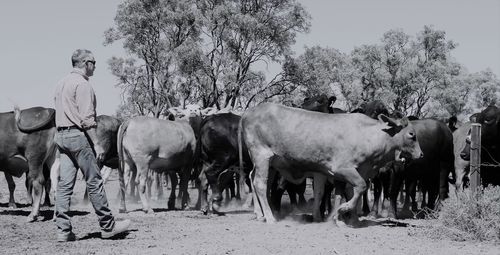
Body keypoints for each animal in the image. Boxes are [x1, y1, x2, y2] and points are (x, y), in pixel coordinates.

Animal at [241, 102, 422, 224]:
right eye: (412, 134)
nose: (421, 154)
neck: (366, 135)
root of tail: (250, 112)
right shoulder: (342, 169)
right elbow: (360, 187)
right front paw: (343, 210)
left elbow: (345, 192)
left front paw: (348, 218)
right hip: (261, 156)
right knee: (260, 184)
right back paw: (270, 217)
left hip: (271, 163)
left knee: (257, 180)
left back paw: (261, 214)